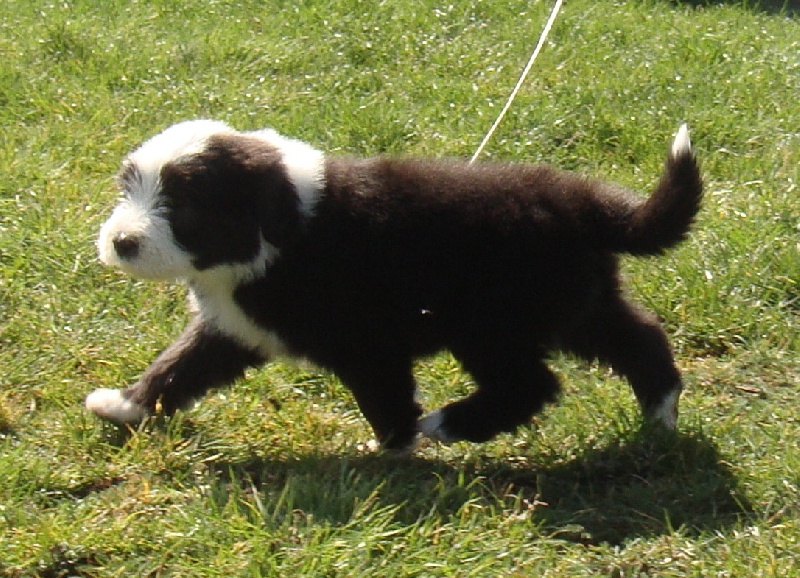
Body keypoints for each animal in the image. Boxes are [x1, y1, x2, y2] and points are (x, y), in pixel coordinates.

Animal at [86, 120, 702, 452]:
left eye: (183, 204)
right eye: (129, 189)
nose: (121, 241)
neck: (281, 225)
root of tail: (586, 204)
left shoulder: (366, 342)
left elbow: (385, 398)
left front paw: (391, 448)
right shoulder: (235, 325)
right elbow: (181, 364)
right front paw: (126, 407)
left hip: (490, 323)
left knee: (533, 384)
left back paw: (448, 424)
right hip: (579, 304)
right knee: (641, 339)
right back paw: (660, 414)